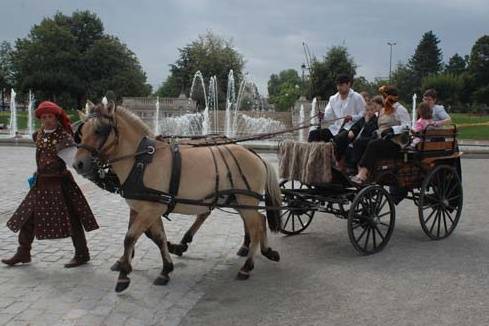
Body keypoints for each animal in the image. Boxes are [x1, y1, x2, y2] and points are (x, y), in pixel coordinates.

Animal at [70, 102, 280, 292]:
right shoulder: (148, 208)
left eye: (99, 130)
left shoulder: (151, 209)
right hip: (237, 200)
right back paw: (264, 251)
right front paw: (165, 269)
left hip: (245, 200)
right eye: (81, 132)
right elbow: (158, 237)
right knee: (259, 220)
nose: (78, 164)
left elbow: (130, 237)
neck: (142, 161)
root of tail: (255, 155)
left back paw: (247, 266)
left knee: (254, 227)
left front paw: (124, 274)